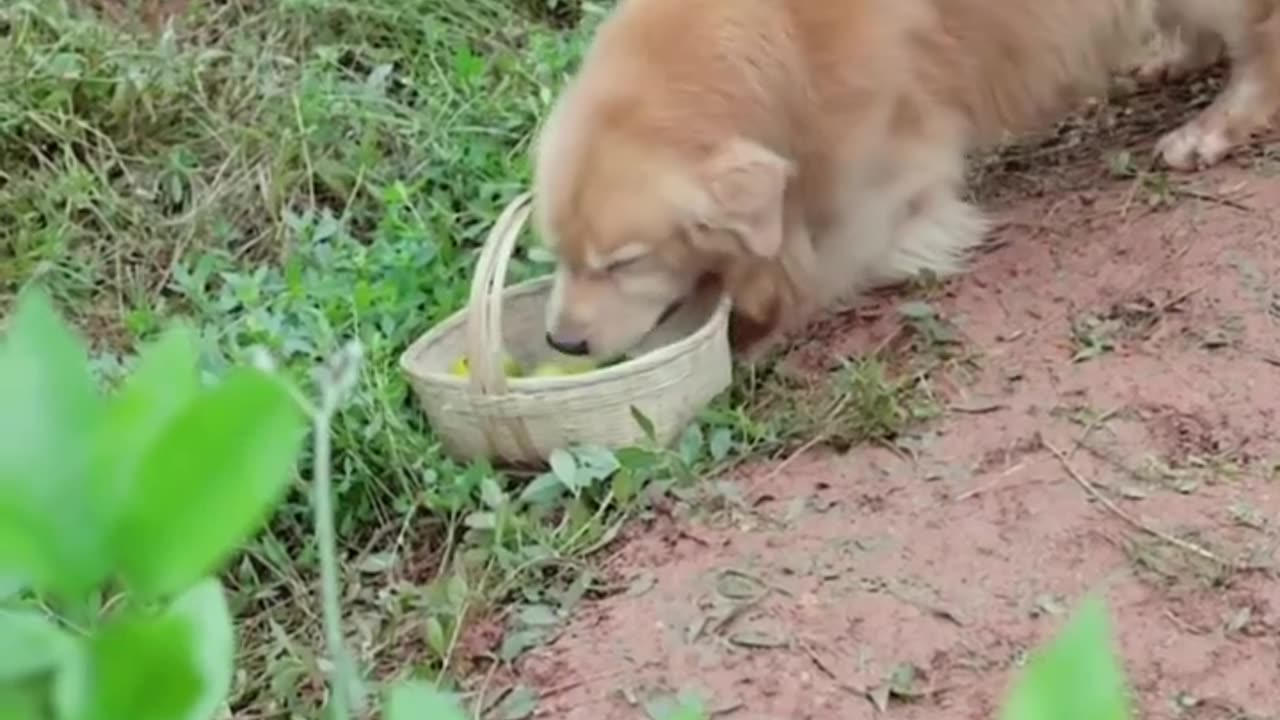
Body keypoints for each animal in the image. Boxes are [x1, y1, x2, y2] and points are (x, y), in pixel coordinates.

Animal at [529, 0, 1280, 358]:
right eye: (557, 255)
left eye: (625, 262)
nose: (560, 343)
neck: (775, 39)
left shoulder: (883, 160)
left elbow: (825, 258)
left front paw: (755, 329)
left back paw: (1214, 127)